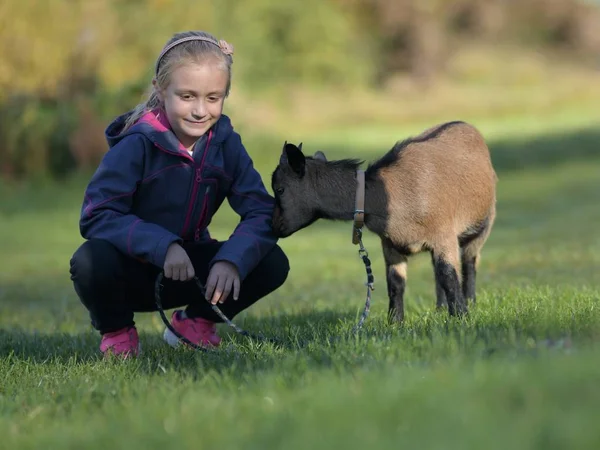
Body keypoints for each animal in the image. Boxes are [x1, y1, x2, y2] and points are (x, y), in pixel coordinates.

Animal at [270, 121, 496, 322]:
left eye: (279, 189)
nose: (274, 226)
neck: (382, 193)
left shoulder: (444, 235)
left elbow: (449, 275)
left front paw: (461, 316)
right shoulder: (390, 244)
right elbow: (395, 283)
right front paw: (395, 322)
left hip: (484, 224)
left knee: (469, 261)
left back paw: (470, 302)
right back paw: (440, 309)